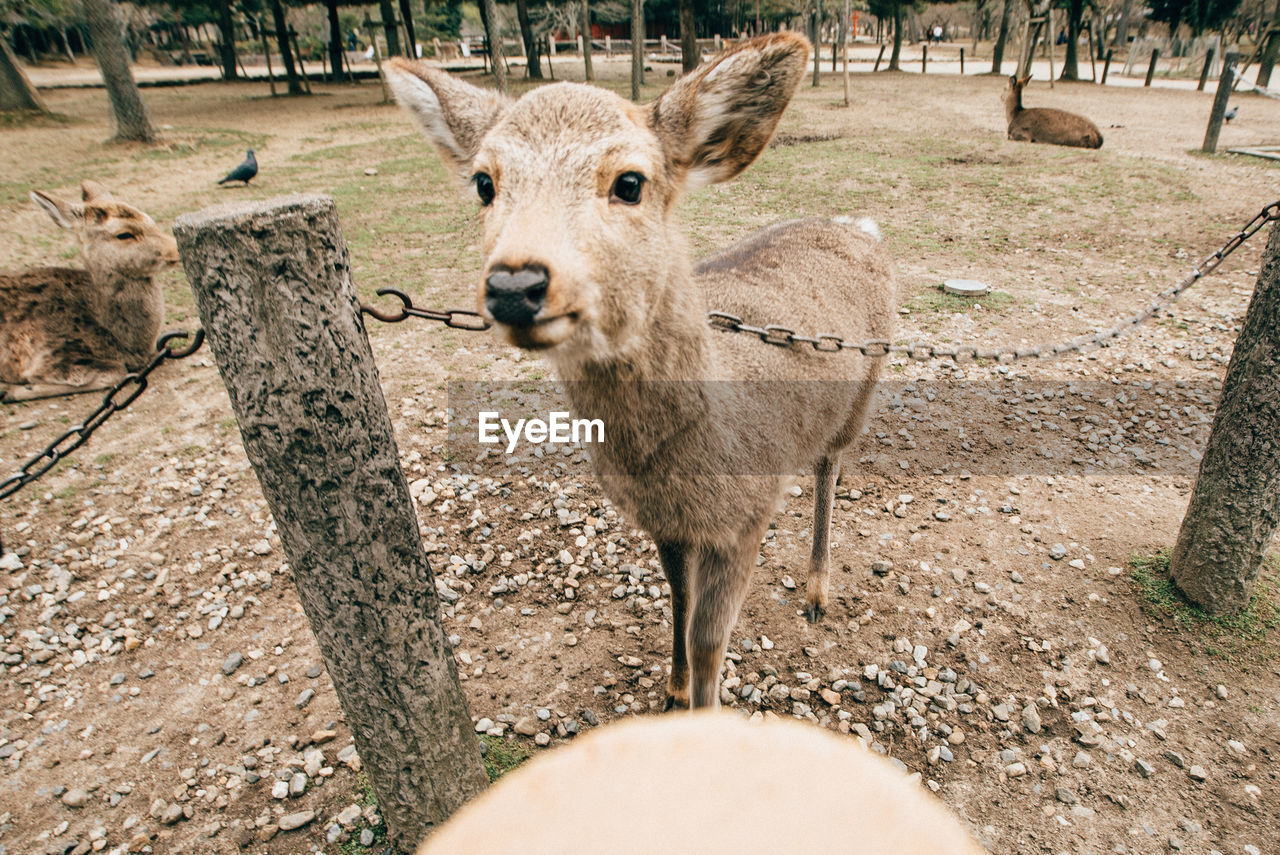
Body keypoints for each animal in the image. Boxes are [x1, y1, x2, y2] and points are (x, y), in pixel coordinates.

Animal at [1, 180, 179, 402]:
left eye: (150, 220)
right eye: (124, 234)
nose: (175, 249)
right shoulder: (50, 354)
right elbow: (115, 372)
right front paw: (14, 390)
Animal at [385, 33, 898, 710]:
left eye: (630, 182)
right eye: (483, 183)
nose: (515, 284)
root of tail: (860, 225)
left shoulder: (746, 515)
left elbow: (710, 640)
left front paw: (701, 708)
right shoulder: (666, 523)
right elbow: (677, 600)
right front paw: (673, 692)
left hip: (863, 393)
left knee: (829, 470)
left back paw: (817, 591)